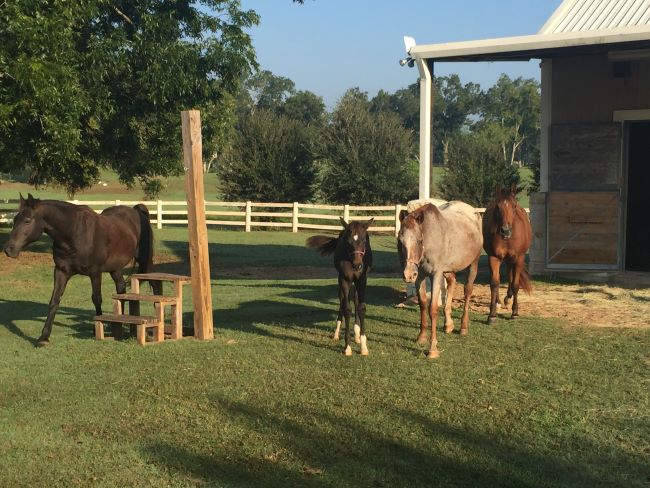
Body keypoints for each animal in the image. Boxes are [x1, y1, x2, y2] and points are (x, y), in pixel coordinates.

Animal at [2, 194, 160, 346]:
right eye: (15, 219)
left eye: (27, 220)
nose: (8, 249)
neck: (74, 233)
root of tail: (136, 211)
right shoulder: (61, 271)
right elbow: (54, 301)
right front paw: (44, 337)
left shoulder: (95, 273)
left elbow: (97, 299)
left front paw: (96, 328)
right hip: (115, 269)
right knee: (121, 290)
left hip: (146, 261)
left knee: (154, 284)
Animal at [306, 217, 374, 356]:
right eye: (348, 242)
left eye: (364, 240)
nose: (357, 265)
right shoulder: (344, 279)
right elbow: (346, 308)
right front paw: (347, 347)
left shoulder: (362, 280)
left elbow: (361, 307)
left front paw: (363, 346)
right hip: (341, 281)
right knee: (342, 299)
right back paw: (337, 333)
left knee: (356, 299)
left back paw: (357, 335)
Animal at [397, 202, 482, 359]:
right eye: (400, 241)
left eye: (419, 240)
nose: (408, 274)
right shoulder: (420, 277)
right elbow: (423, 305)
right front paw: (421, 337)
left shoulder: (436, 275)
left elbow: (432, 309)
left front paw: (432, 348)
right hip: (448, 270)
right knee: (452, 283)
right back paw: (448, 324)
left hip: (473, 263)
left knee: (468, 291)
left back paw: (463, 327)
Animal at [482, 183, 532, 324]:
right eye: (497, 206)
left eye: (514, 206)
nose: (505, 231)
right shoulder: (493, 257)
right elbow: (494, 283)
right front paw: (492, 314)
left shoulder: (519, 258)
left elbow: (515, 284)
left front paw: (515, 312)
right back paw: (499, 301)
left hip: (512, 259)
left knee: (510, 274)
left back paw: (508, 298)